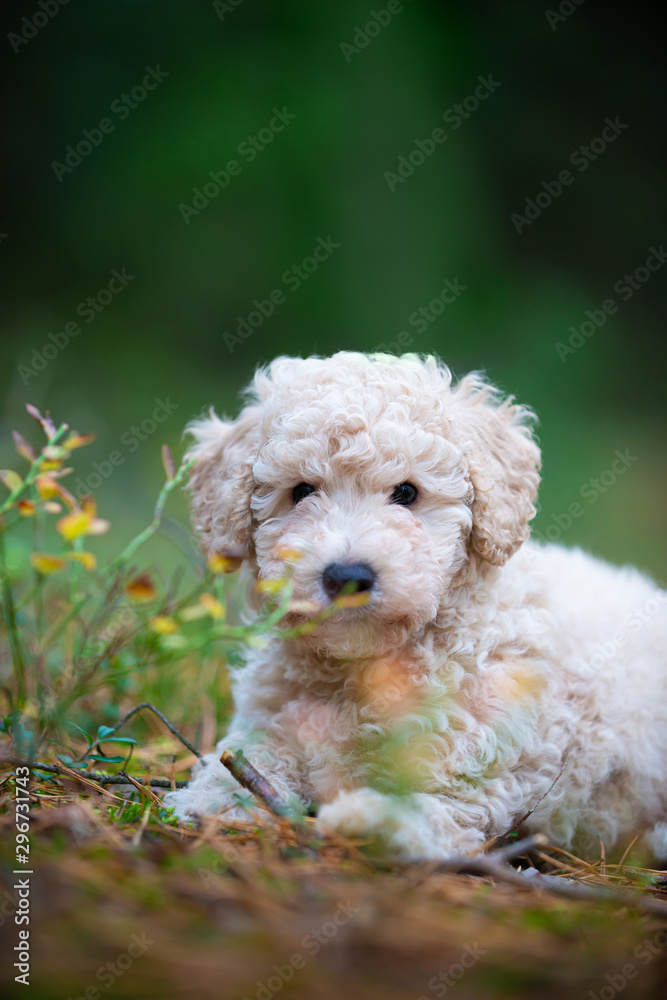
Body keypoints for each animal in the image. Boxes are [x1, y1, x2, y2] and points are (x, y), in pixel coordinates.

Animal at [163, 352, 667, 860]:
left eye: (407, 493)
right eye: (301, 491)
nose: (348, 575)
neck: (365, 668)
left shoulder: (474, 783)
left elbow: (426, 811)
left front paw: (365, 819)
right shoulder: (272, 722)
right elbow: (250, 759)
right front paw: (213, 800)